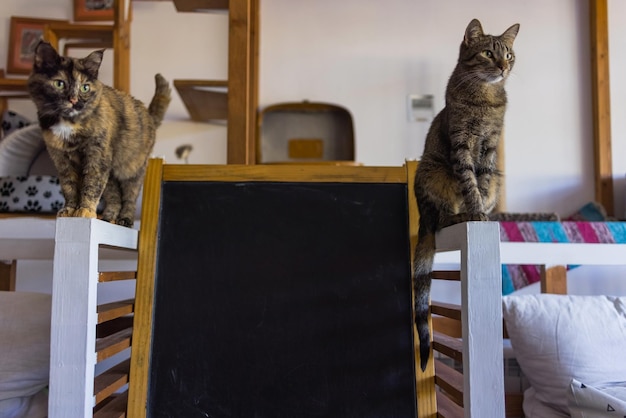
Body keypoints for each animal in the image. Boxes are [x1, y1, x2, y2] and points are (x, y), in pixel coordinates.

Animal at [27, 40, 171, 227]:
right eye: (60, 83)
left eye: (85, 87)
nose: (74, 101)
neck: (68, 123)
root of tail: (149, 115)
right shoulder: (62, 160)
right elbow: (69, 187)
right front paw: (69, 209)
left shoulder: (97, 157)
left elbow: (91, 186)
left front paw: (85, 210)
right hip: (111, 175)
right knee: (115, 197)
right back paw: (109, 217)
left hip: (130, 170)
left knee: (129, 198)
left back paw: (125, 219)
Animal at [412, 20, 520, 372]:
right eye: (487, 53)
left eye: (508, 54)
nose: (503, 67)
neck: (485, 98)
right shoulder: (462, 145)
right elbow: (470, 183)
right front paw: (475, 211)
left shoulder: (489, 148)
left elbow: (482, 183)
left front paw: (483, 210)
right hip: (434, 176)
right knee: (443, 217)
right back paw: (459, 214)